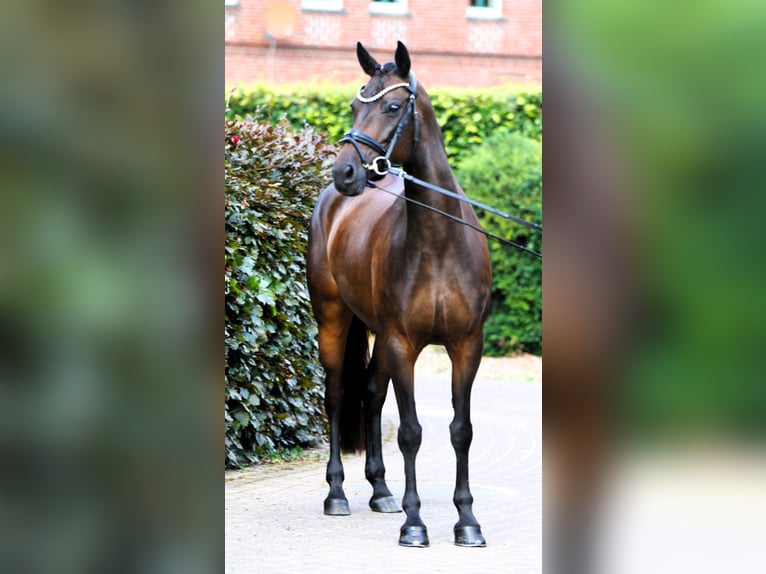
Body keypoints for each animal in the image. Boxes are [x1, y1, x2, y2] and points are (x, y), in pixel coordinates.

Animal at [308, 41, 492, 548]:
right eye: (355, 106)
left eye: (392, 107)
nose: (346, 172)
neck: (439, 244)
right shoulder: (403, 344)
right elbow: (410, 431)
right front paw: (415, 523)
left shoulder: (466, 346)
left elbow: (461, 430)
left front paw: (467, 522)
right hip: (334, 321)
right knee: (337, 395)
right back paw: (338, 495)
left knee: (371, 393)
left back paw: (381, 490)